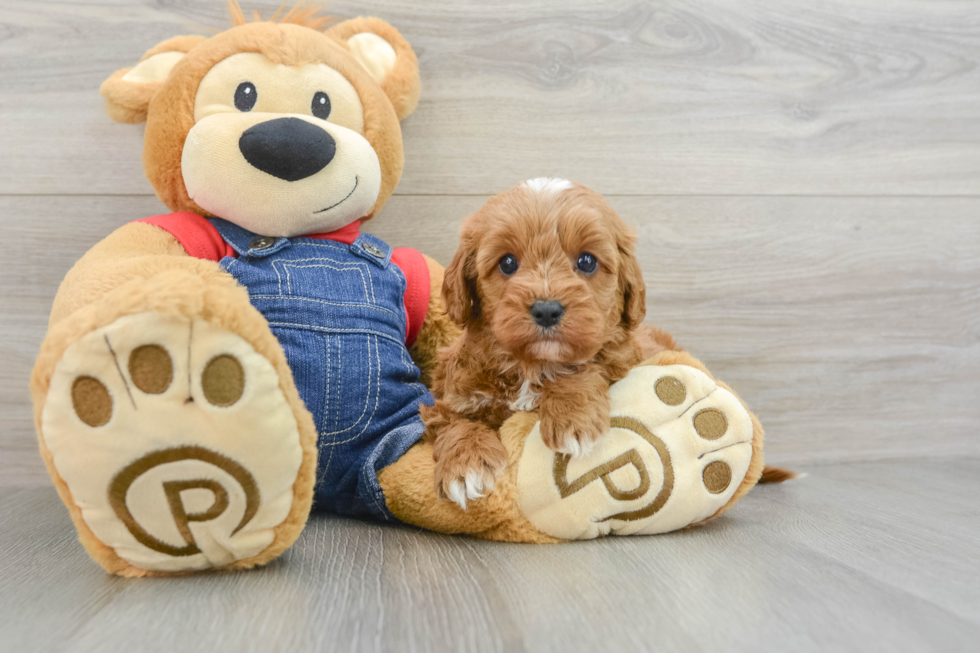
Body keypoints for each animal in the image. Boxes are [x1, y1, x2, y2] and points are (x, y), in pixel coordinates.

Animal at [422, 180, 672, 510]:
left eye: (587, 261)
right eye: (507, 263)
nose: (546, 310)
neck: (530, 365)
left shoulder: (621, 359)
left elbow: (582, 365)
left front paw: (571, 418)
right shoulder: (450, 397)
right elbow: (455, 422)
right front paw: (465, 466)